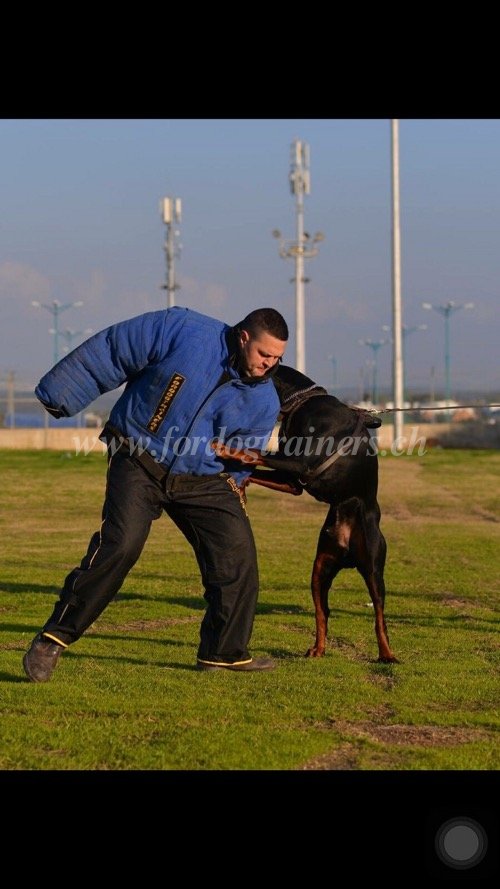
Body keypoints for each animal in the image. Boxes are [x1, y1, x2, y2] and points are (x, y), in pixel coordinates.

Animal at [217, 364, 396, 664]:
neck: (302, 402)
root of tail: (348, 552)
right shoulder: (292, 480)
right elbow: (253, 468)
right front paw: (238, 484)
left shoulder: (298, 463)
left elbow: (253, 452)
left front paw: (220, 447)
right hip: (320, 569)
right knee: (323, 612)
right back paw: (317, 648)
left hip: (373, 567)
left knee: (379, 616)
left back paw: (387, 653)